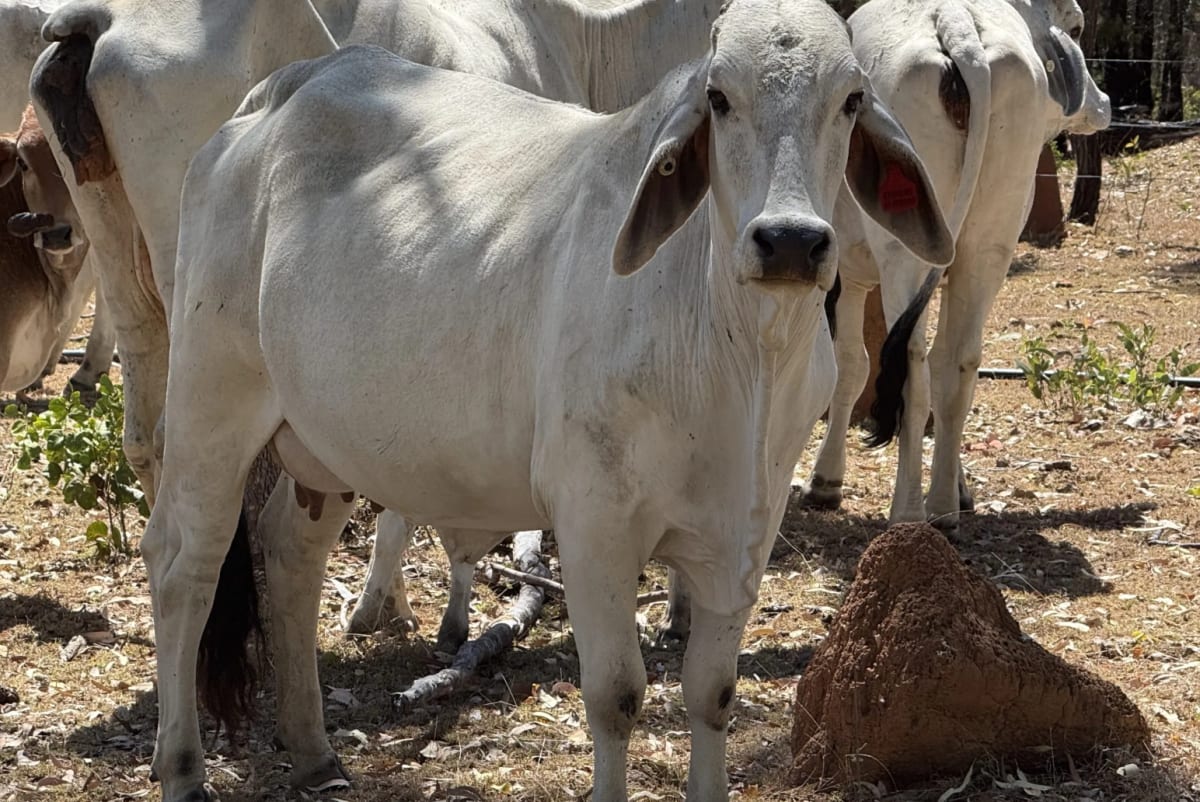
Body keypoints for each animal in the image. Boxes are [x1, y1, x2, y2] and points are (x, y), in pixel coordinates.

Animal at [149, 1, 954, 798]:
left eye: (850, 100)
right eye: (719, 97)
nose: (789, 241)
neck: (739, 354)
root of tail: (280, 93)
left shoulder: (743, 535)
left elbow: (712, 692)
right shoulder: (595, 524)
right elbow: (617, 695)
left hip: (324, 442)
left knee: (292, 550)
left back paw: (313, 748)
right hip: (209, 403)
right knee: (183, 565)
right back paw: (182, 767)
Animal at [802, 0, 1110, 530]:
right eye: (1074, 26)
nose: (1103, 101)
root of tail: (958, 24)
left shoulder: (850, 275)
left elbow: (850, 366)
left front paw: (825, 479)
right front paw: (962, 488)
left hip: (907, 253)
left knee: (912, 364)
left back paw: (908, 511)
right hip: (989, 245)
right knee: (958, 363)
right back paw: (944, 503)